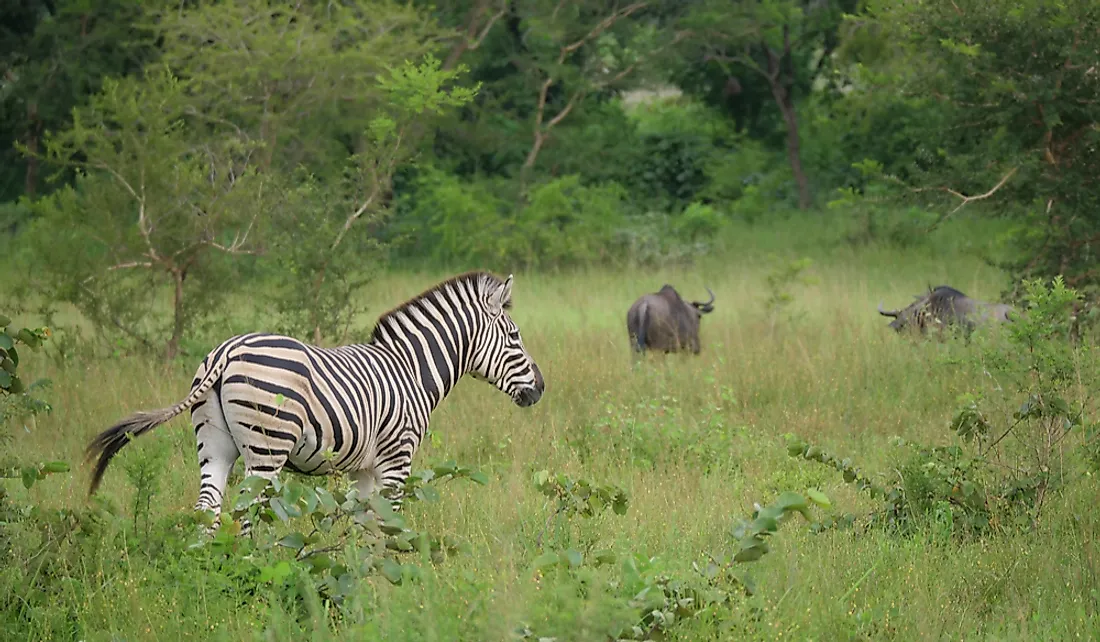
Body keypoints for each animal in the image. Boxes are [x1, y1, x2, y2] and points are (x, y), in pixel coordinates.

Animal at [83, 270, 543, 532]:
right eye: (515, 336)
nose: (540, 389)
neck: (411, 369)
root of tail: (226, 352)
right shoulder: (398, 458)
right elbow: (388, 524)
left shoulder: (364, 468)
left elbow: (362, 524)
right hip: (266, 447)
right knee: (246, 512)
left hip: (213, 443)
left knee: (207, 509)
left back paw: (209, 577)